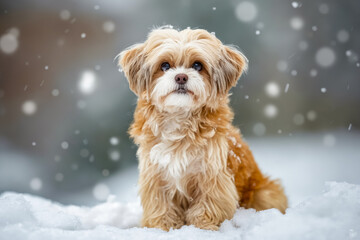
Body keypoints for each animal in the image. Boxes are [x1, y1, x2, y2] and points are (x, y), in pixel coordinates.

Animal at [119, 26, 288, 231]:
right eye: (165, 65)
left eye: (197, 65)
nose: (181, 77)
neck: (180, 119)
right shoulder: (155, 175)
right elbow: (161, 205)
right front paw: (162, 227)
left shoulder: (213, 177)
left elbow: (207, 205)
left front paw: (202, 227)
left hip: (265, 194)